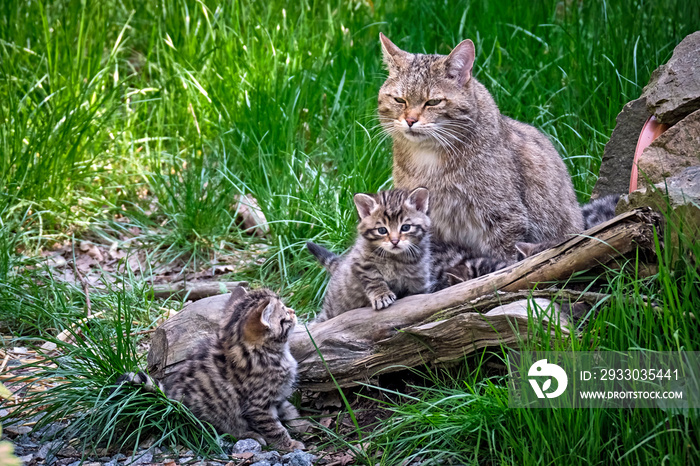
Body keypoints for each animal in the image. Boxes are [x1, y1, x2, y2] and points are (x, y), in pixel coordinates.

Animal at [116, 288, 304, 452]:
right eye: (285, 314)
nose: (294, 311)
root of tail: (172, 400)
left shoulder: (278, 395)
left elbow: (290, 410)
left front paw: (303, 424)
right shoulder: (258, 405)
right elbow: (274, 428)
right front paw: (288, 444)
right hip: (215, 415)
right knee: (218, 431)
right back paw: (249, 435)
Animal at [308, 187, 432, 322]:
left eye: (405, 227)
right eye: (382, 230)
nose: (394, 241)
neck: (394, 257)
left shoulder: (419, 279)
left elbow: (416, 294)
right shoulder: (361, 261)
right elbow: (373, 278)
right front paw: (382, 295)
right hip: (334, 307)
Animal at [378, 34, 584, 262]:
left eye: (433, 102)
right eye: (399, 100)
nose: (410, 120)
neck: (427, 156)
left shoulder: (504, 217)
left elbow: (506, 260)